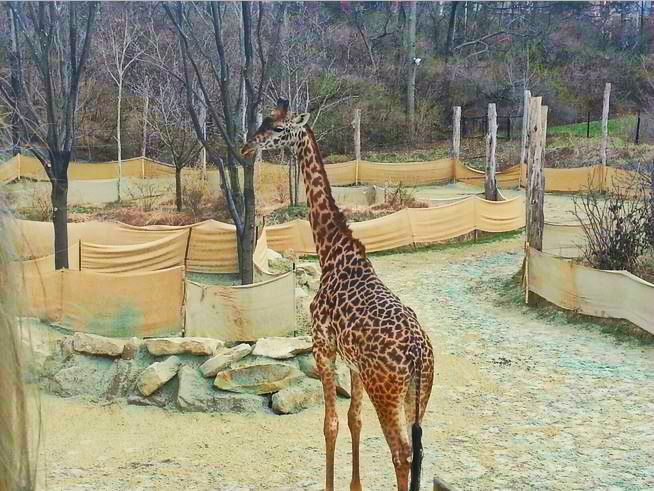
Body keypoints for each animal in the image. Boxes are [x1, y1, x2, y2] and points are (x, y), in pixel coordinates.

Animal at [242, 99, 435, 491]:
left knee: (402, 453)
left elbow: (329, 424)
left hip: (386, 391)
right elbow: (352, 420)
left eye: (277, 128)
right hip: (418, 396)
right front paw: (354, 486)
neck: (332, 252)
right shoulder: (353, 364)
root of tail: (419, 355)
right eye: (264, 121)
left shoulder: (322, 347)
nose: (246, 147)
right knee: (420, 451)